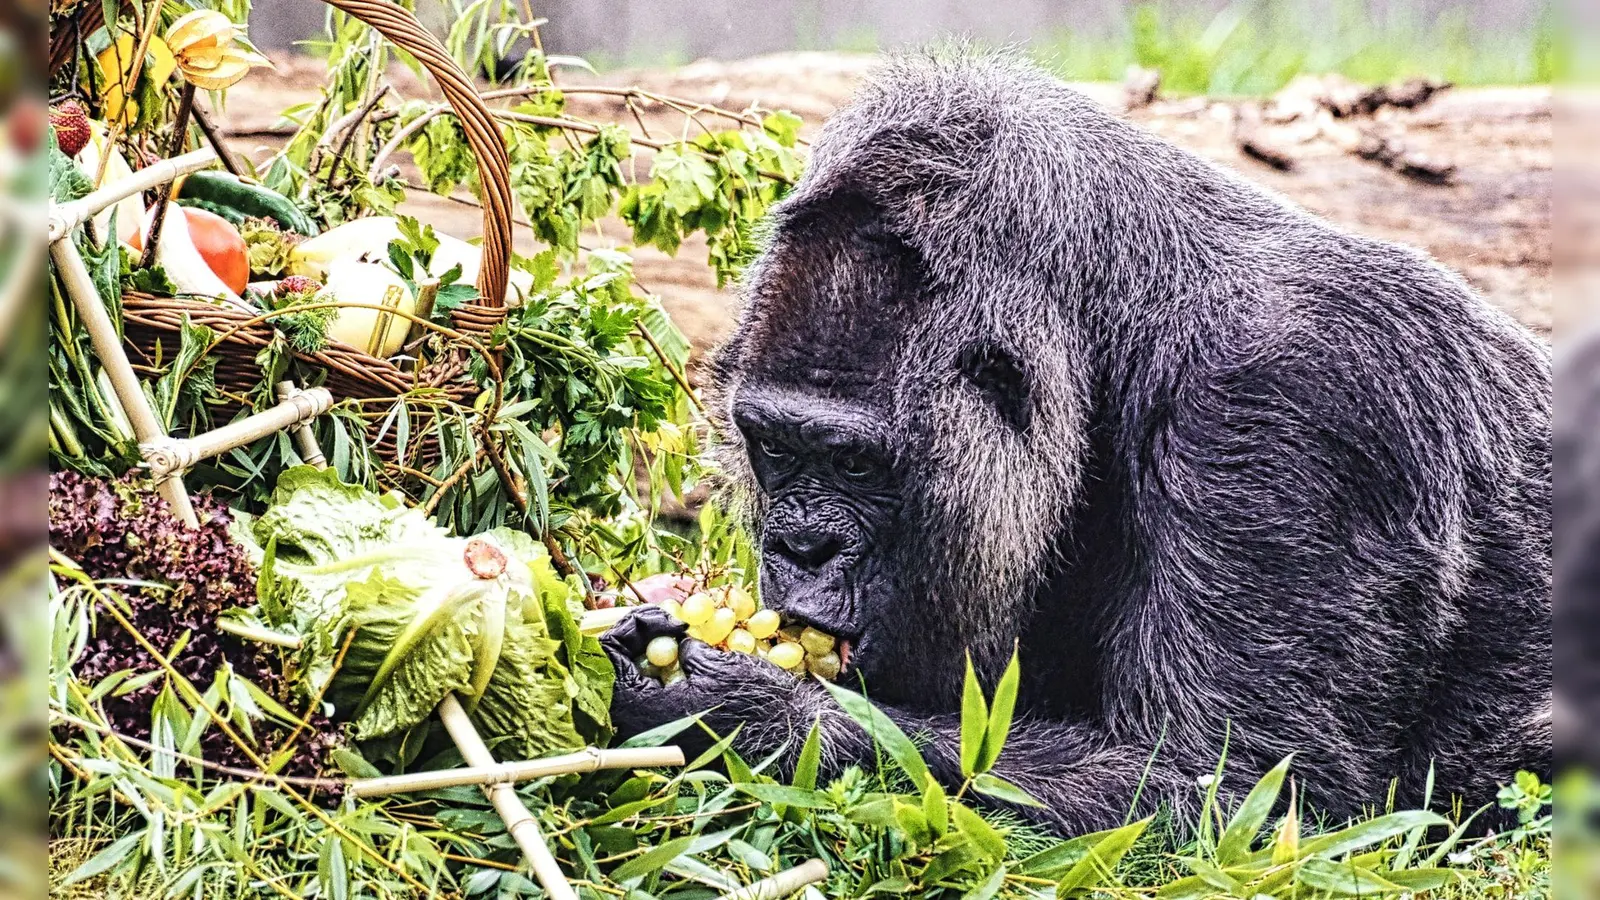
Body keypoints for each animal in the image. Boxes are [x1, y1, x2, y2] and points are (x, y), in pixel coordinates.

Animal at [601, 52, 1548, 832]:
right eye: (774, 448)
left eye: (853, 462)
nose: (800, 547)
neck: (1124, 327)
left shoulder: (1299, 400)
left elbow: (1239, 797)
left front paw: (748, 712)